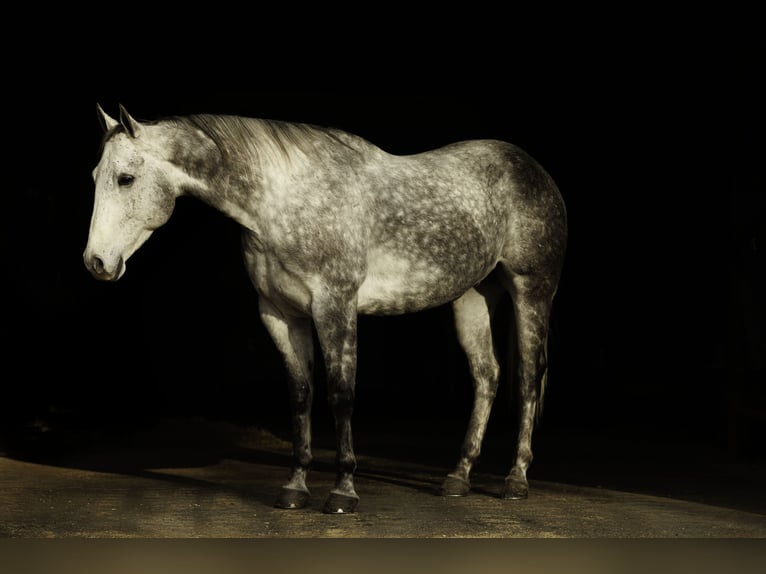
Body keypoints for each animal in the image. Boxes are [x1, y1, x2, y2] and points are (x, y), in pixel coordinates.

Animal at [84, 103, 567, 514]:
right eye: (95, 176)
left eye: (125, 178)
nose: (97, 263)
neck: (280, 200)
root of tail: (535, 170)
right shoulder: (280, 315)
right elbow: (301, 395)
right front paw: (295, 489)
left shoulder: (335, 305)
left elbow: (340, 394)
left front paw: (343, 493)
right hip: (471, 297)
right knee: (487, 376)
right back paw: (458, 477)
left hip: (531, 290)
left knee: (528, 377)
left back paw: (515, 480)